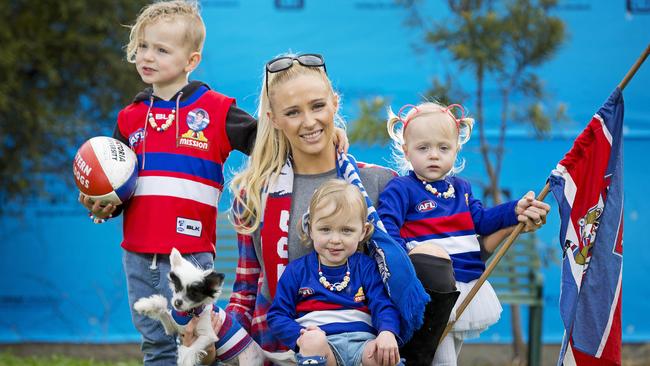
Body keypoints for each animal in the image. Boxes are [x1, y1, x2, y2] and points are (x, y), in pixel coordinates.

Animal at [134, 249, 294, 366]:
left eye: (193, 293)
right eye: (177, 287)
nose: (177, 303)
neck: (189, 314)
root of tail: (260, 350)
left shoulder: (208, 336)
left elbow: (192, 348)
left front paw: (185, 358)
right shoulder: (173, 327)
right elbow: (162, 308)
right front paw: (145, 305)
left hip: (248, 362)